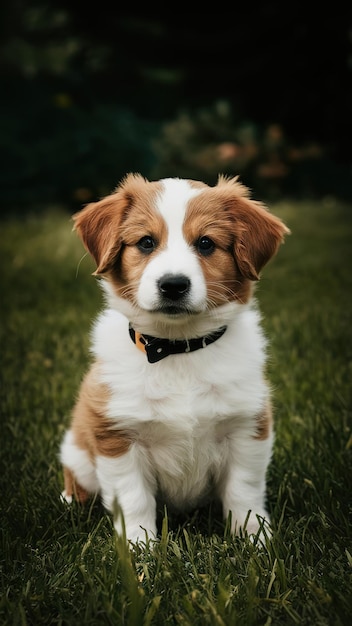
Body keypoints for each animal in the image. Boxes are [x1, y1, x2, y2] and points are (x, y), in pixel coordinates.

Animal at [60, 172, 290, 540]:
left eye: (206, 243)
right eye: (146, 243)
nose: (173, 285)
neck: (177, 348)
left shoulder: (247, 427)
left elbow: (244, 492)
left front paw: (255, 539)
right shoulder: (117, 437)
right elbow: (134, 501)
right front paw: (139, 548)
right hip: (79, 454)